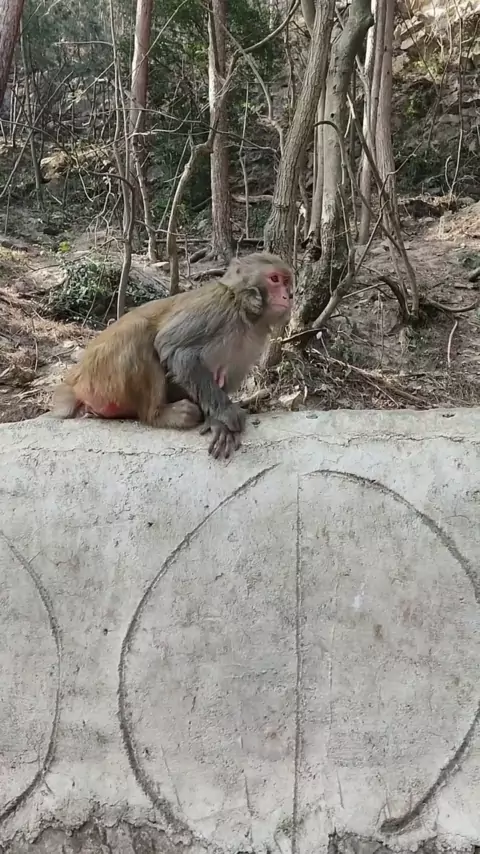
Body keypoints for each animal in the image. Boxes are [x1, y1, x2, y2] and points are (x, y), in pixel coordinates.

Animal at [50, 252, 293, 459]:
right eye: (274, 279)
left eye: (287, 282)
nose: (288, 296)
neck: (245, 311)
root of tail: (74, 382)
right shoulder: (218, 306)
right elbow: (173, 348)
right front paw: (224, 414)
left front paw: (215, 418)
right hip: (102, 382)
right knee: (140, 333)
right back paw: (158, 415)